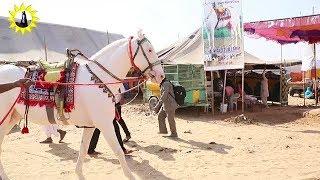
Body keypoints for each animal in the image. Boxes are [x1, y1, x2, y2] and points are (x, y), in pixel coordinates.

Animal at [0, 31, 165, 179]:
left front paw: (79, 173)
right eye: (150, 50)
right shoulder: (104, 123)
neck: (98, 79)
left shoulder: (91, 125)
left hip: (12, 117)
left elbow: (83, 149)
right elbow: (118, 150)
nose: (161, 75)